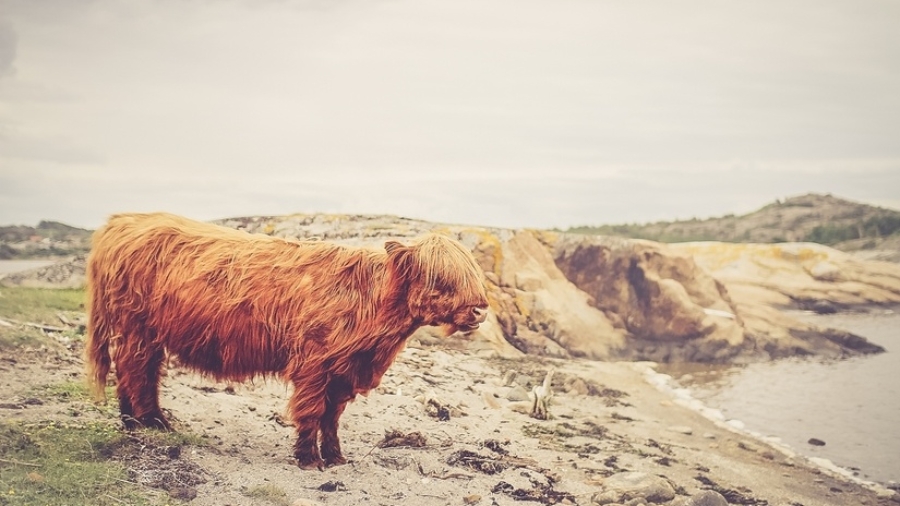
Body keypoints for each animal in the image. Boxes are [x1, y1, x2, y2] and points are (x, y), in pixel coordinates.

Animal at [88, 211, 488, 468]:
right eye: (442, 279)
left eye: (472, 275)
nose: (481, 309)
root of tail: (123, 220)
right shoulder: (313, 363)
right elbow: (311, 410)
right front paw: (308, 459)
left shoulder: (344, 370)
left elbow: (332, 416)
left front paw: (335, 456)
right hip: (137, 326)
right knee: (136, 368)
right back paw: (151, 422)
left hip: (147, 331)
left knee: (138, 370)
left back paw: (134, 421)